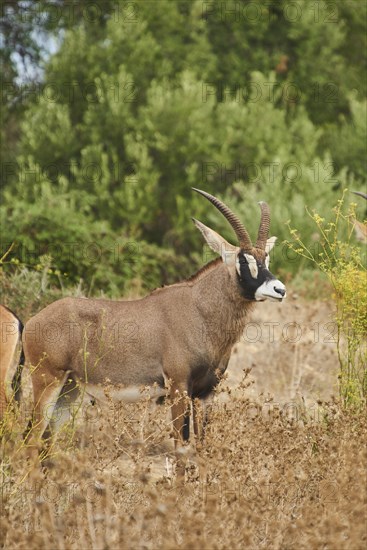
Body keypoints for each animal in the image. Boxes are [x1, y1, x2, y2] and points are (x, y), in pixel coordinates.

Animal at [23, 190, 288, 458]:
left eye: (266, 259)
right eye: (243, 261)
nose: (279, 289)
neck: (199, 311)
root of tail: (34, 320)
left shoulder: (205, 393)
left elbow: (202, 447)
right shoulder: (178, 388)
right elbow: (182, 448)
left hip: (70, 388)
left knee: (47, 439)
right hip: (48, 380)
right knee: (32, 439)